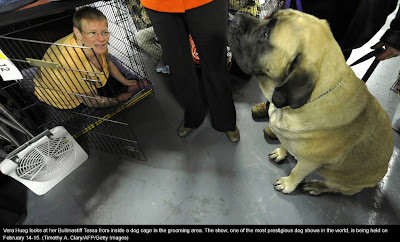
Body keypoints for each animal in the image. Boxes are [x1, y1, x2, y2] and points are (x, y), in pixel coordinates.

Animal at [228, 9, 394, 196]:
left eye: (265, 34)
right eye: (270, 17)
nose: (236, 16)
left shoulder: (309, 162)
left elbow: (296, 172)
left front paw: (287, 184)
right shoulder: (287, 138)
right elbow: (284, 144)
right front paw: (281, 153)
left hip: (341, 182)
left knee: (332, 187)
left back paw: (316, 186)